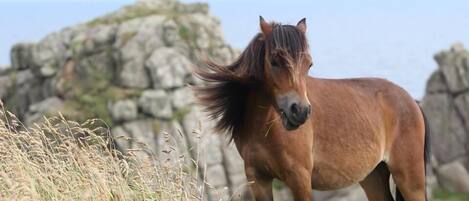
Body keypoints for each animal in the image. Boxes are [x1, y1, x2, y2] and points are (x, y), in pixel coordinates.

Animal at [191, 17, 428, 201]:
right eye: (274, 61)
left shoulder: (300, 179)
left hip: (410, 179)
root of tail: (411, 101)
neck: (266, 128)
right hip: (373, 176)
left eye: (309, 64)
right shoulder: (258, 179)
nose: (300, 111)